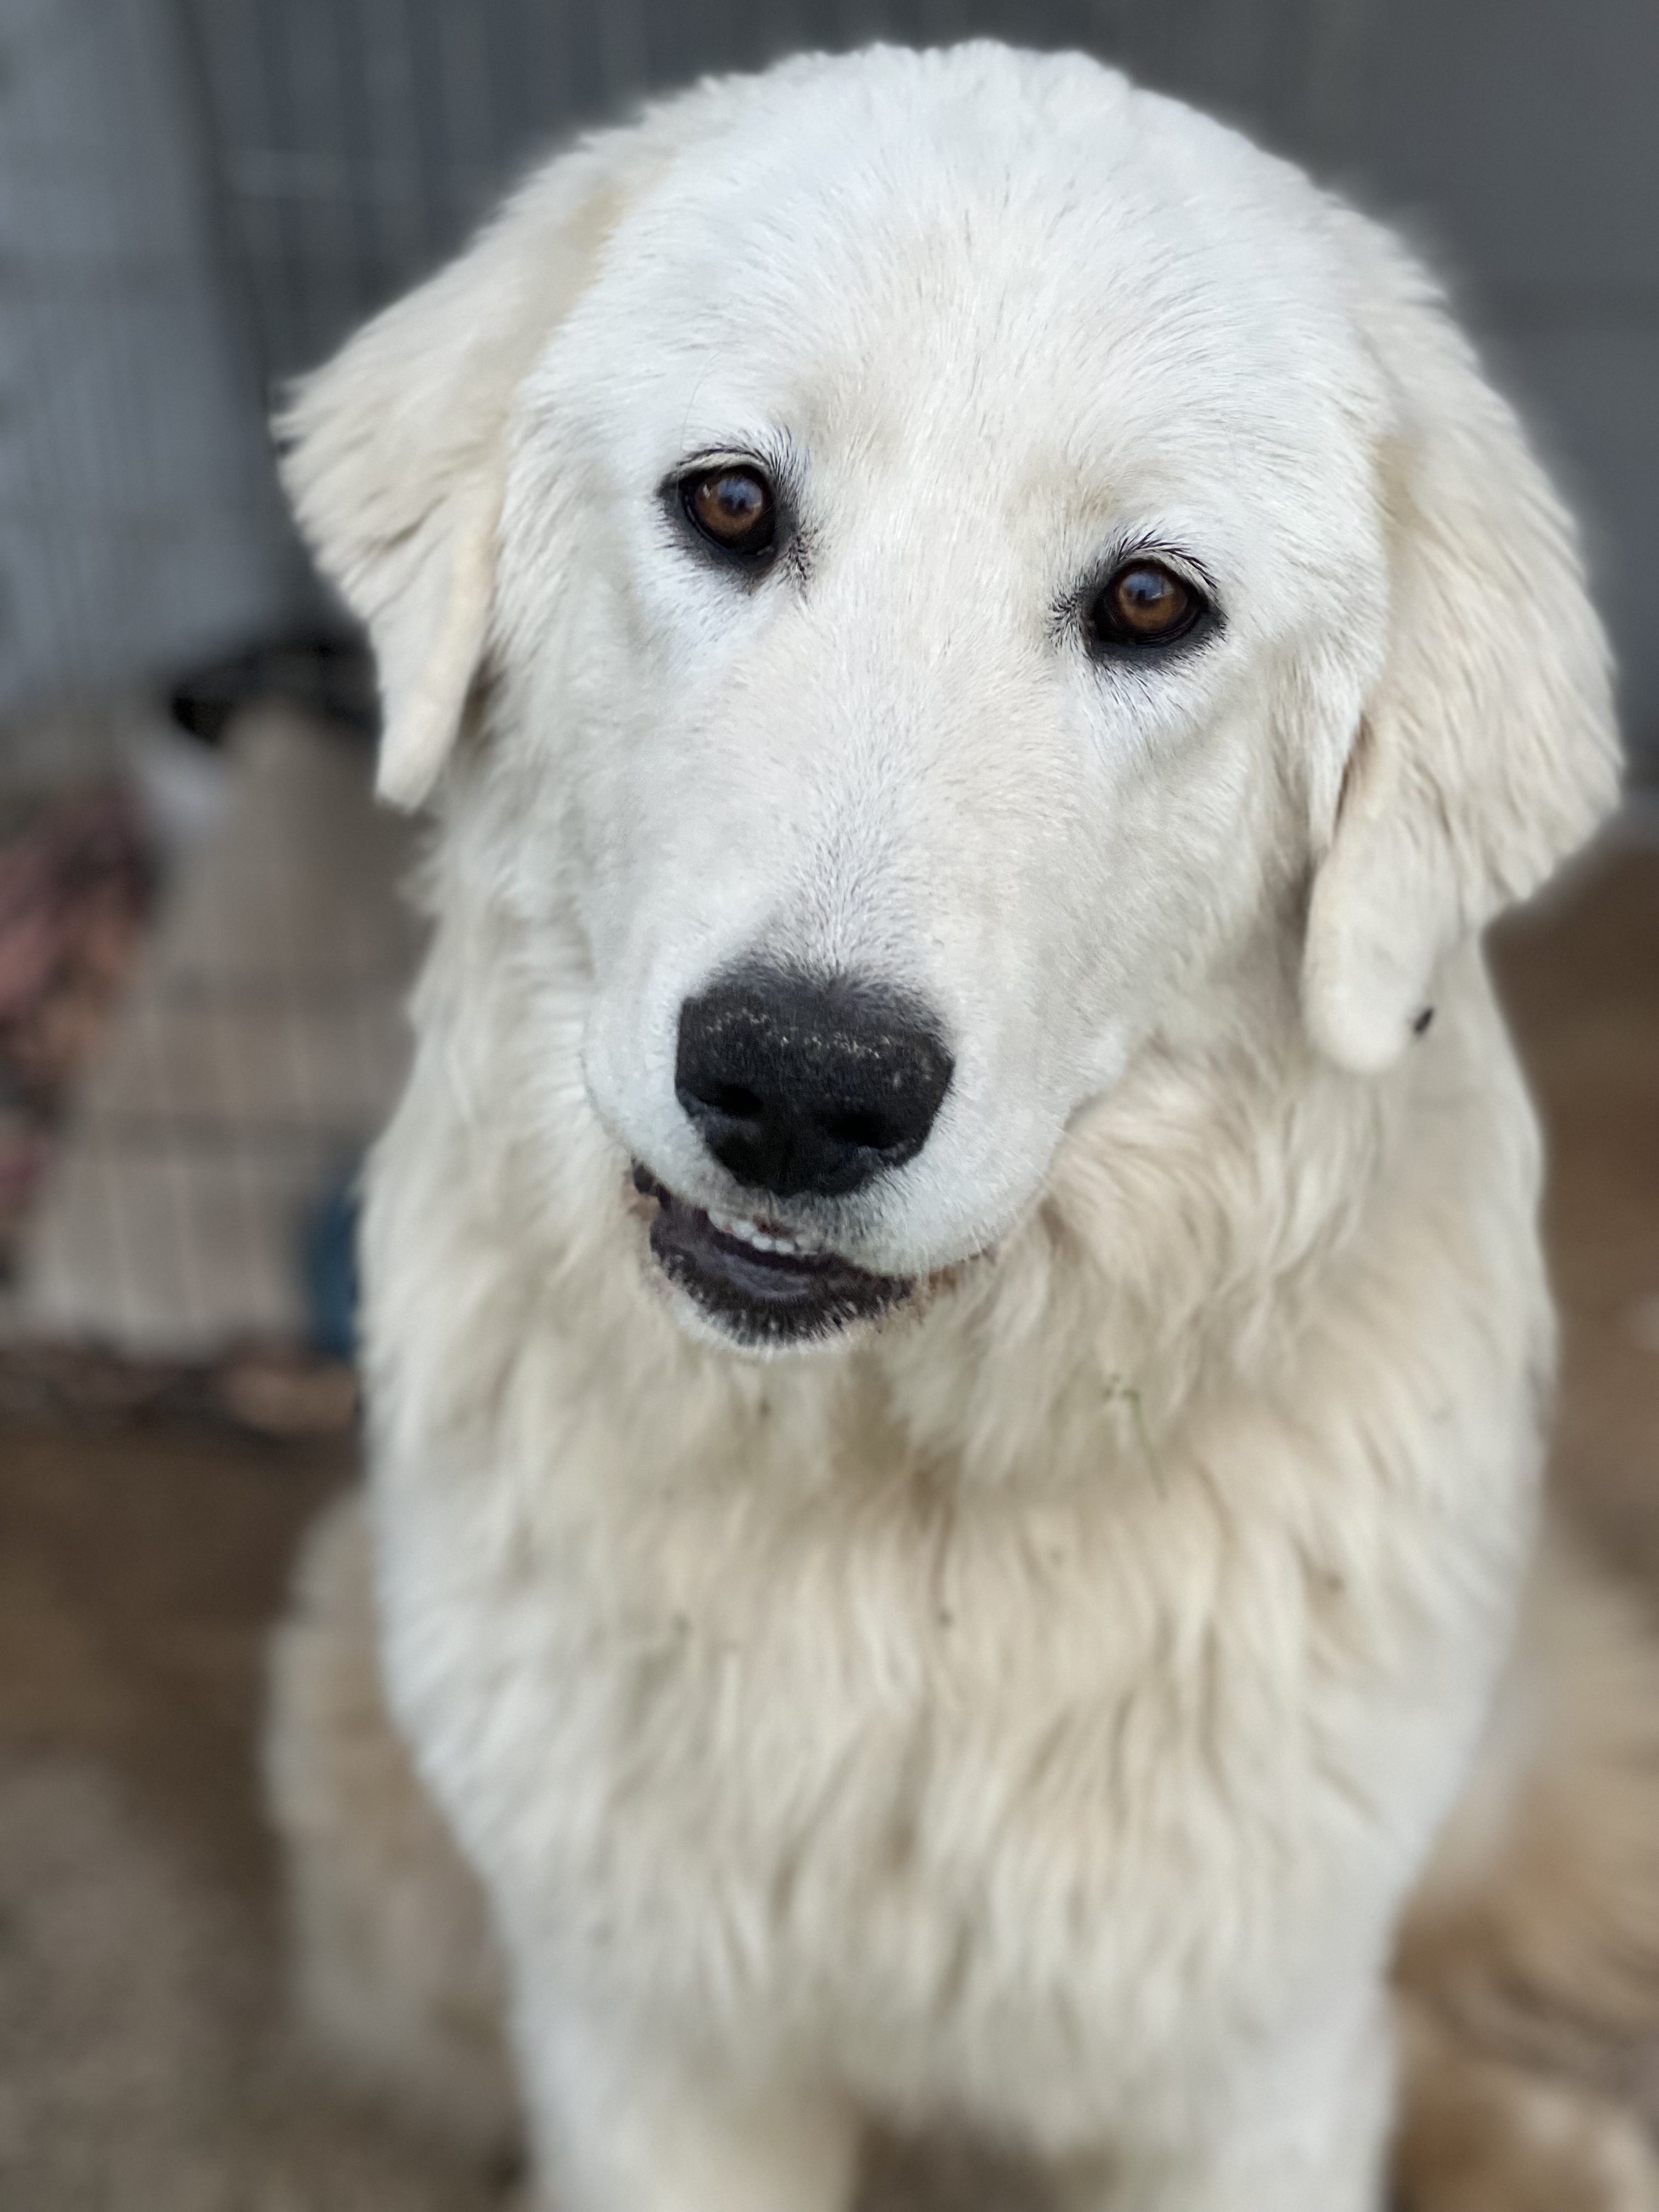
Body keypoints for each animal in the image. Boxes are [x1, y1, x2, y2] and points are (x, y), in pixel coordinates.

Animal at [266, 39, 1659, 2212]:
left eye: (1150, 603)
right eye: (729, 504)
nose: (798, 1080)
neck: (910, 1526)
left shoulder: (1236, 2048)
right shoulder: (652, 2037)